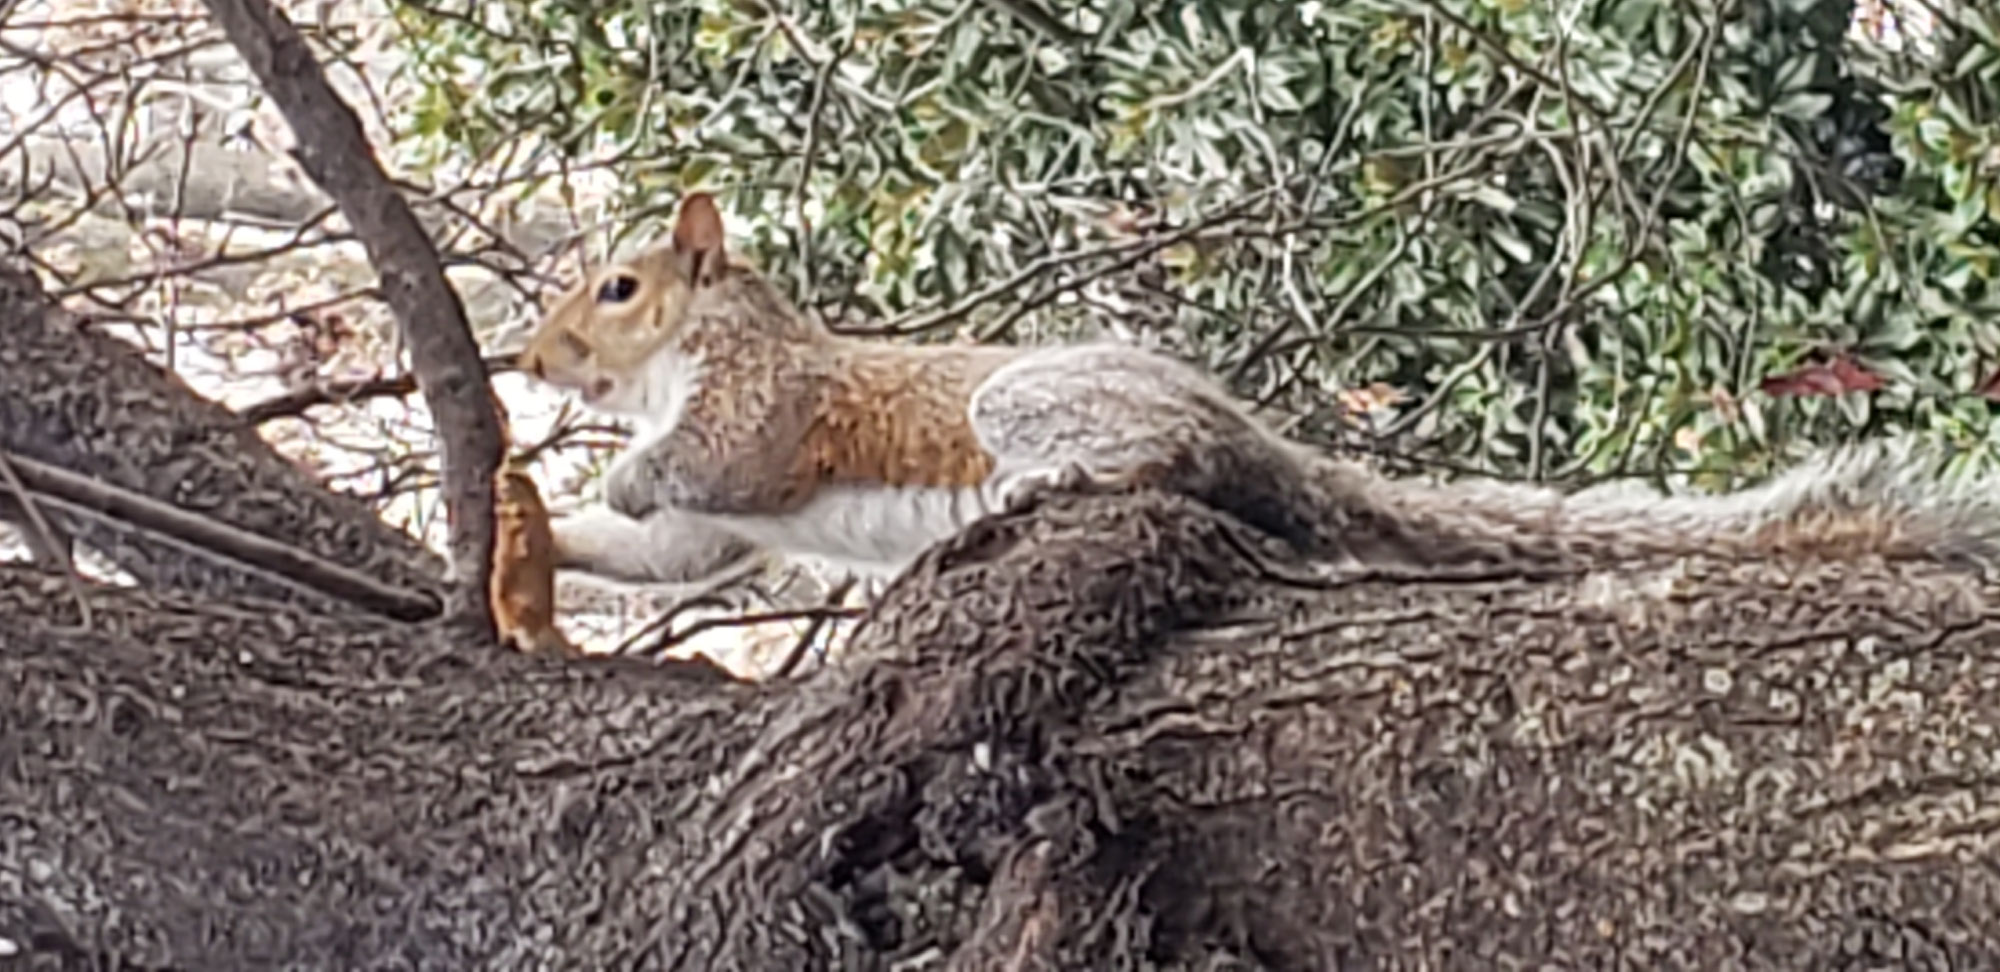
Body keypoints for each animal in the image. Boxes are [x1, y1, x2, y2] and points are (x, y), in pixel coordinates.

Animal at [516, 190, 2000, 584]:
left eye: (619, 290)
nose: (529, 364)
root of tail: (1259, 431)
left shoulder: (771, 402)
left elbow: (718, 461)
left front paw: (617, 471)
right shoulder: (716, 530)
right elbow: (674, 557)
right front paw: (532, 532)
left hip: (1033, 408)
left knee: (1178, 466)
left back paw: (1069, 478)